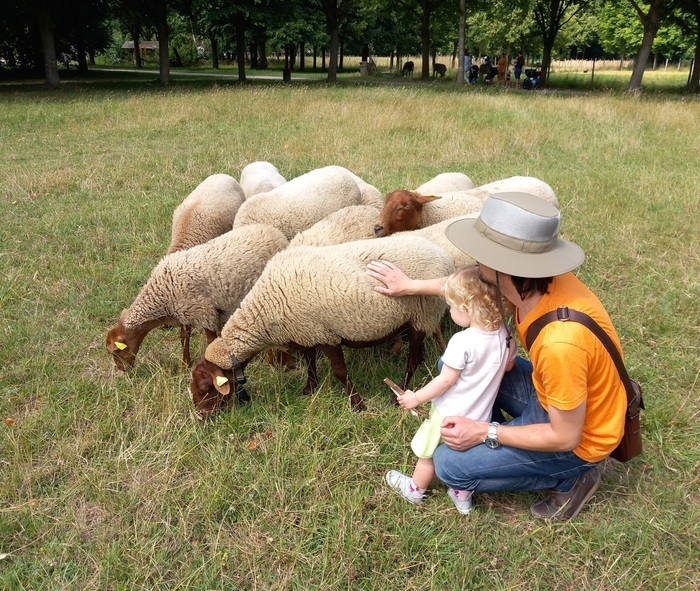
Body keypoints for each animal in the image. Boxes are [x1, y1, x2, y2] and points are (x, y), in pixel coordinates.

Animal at [106, 224, 288, 371]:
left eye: (116, 353)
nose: (122, 371)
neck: (162, 297)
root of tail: (276, 232)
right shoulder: (185, 312)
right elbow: (184, 338)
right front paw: (185, 365)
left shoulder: (204, 312)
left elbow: (209, 340)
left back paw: (272, 362)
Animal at [188, 234, 454, 418]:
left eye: (205, 388)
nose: (201, 418)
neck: (265, 308)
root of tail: (443, 256)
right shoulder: (306, 332)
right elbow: (309, 361)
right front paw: (309, 388)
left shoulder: (326, 335)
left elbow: (339, 372)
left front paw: (357, 404)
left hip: (422, 315)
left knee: (414, 359)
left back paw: (395, 394)